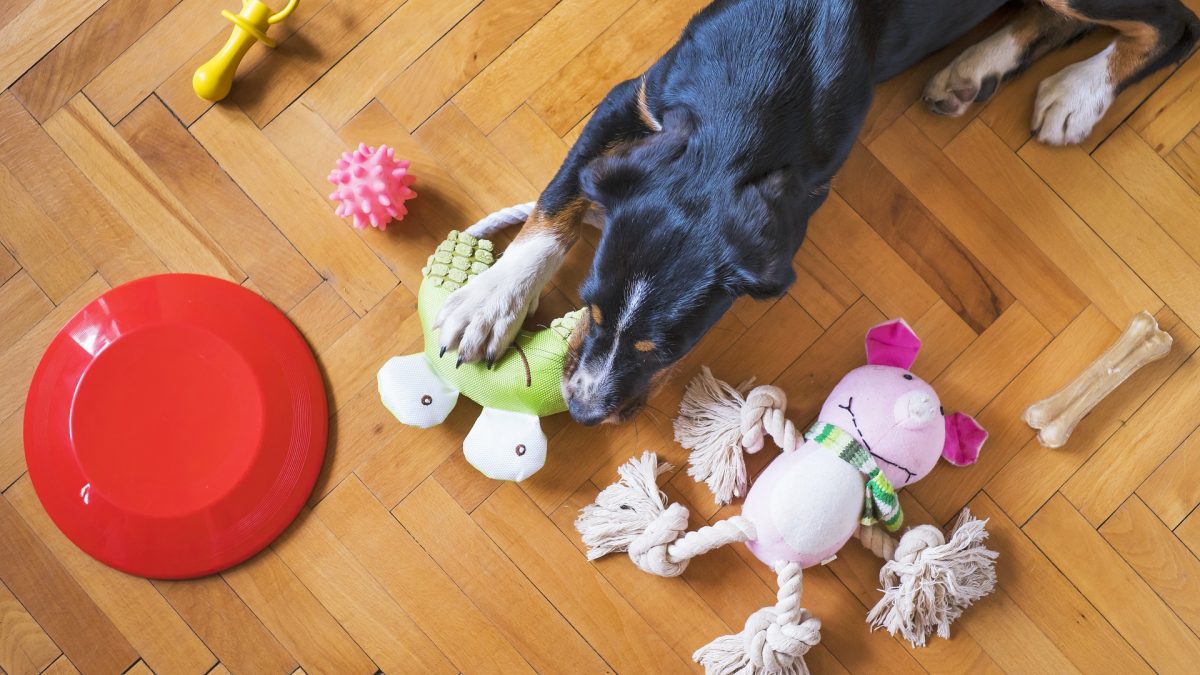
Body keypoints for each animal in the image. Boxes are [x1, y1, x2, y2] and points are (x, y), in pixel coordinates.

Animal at [434, 0, 1200, 422]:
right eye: (589, 309)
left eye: (667, 350)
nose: (585, 411)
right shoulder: (633, 97)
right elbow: (558, 197)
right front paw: (490, 301)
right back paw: (973, 68)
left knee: (1175, 26)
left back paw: (1078, 94)